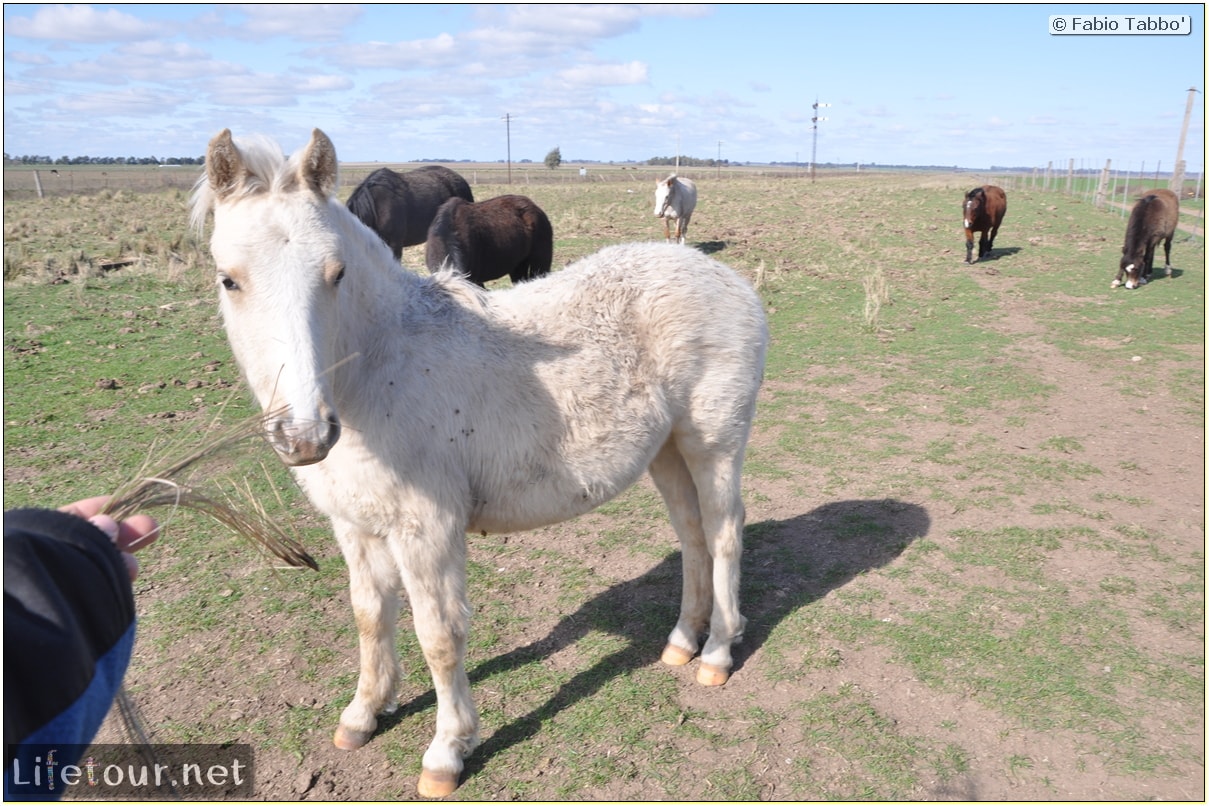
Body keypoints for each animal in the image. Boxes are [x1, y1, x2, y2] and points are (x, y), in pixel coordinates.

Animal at [193, 129, 768, 797]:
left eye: (336, 273)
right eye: (228, 280)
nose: (304, 434)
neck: (379, 370)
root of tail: (729, 281)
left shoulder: (428, 529)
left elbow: (439, 636)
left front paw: (447, 751)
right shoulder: (355, 525)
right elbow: (369, 616)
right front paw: (363, 714)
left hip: (713, 445)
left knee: (724, 534)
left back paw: (717, 654)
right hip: (668, 452)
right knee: (693, 534)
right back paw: (681, 642)